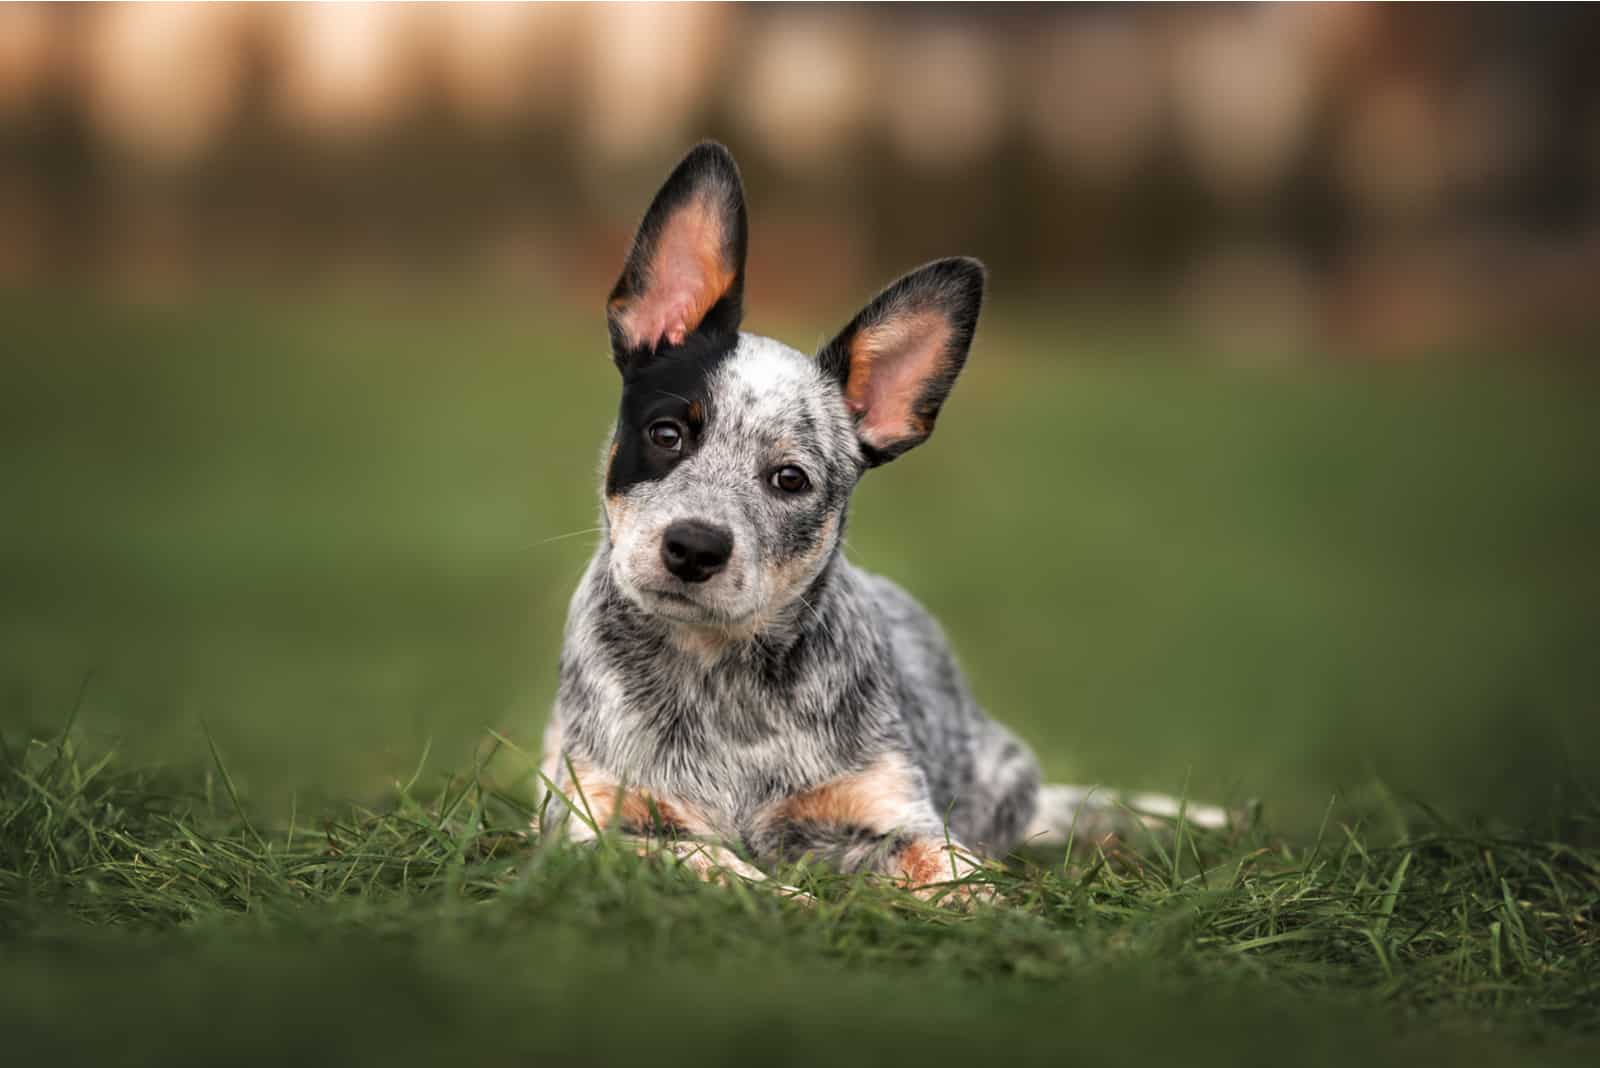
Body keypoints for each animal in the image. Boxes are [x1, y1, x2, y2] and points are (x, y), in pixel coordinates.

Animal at [537, 141, 1222, 895]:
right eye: (667, 434)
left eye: (790, 478)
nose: (694, 546)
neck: (718, 680)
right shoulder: (592, 820)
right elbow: (701, 859)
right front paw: (779, 894)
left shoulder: (890, 809)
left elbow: (952, 869)